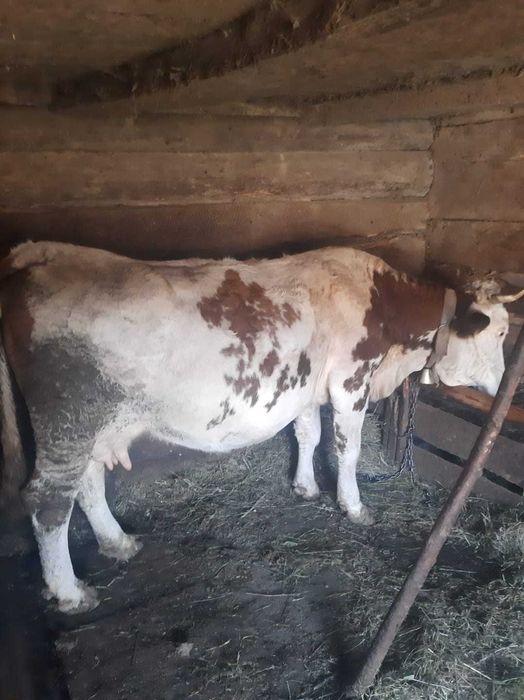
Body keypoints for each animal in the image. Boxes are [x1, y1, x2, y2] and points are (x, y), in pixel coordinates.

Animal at [0, 241, 521, 614]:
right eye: (500, 332)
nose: (504, 384)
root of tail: (36, 253)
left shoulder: (308, 387)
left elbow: (307, 435)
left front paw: (305, 487)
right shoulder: (351, 381)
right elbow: (346, 449)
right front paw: (353, 507)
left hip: (94, 425)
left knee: (87, 483)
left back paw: (117, 542)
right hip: (67, 419)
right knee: (48, 500)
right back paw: (70, 592)